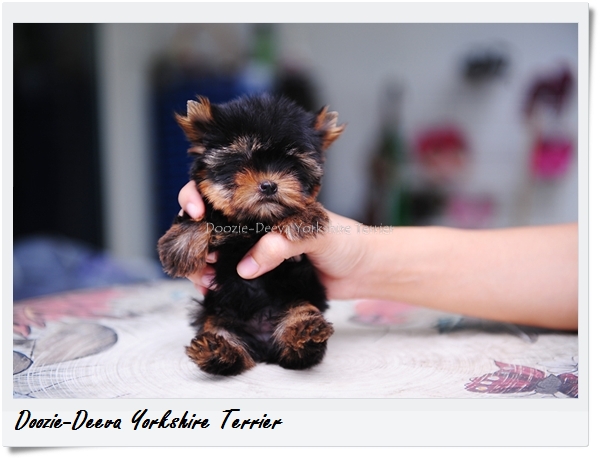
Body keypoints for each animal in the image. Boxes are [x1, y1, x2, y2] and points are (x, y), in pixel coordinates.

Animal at [157, 94, 345, 375]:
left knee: (300, 331)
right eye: (240, 162)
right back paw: (218, 351)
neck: (252, 222)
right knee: (226, 340)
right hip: (219, 314)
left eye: (293, 166)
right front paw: (180, 246)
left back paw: (305, 333)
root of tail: (265, 349)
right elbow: (199, 217)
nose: (269, 185)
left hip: (297, 298)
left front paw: (304, 215)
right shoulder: (202, 206)